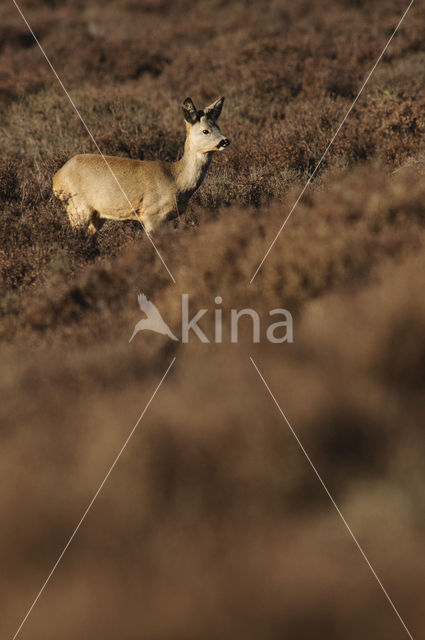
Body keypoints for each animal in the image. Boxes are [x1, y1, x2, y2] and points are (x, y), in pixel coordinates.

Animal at [53, 96, 232, 234]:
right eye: (205, 131)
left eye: (218, 126)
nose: (225, 141)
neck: (176, 179)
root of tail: (56, 178)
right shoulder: (152, 214)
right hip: (77, 207)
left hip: (96, 215)